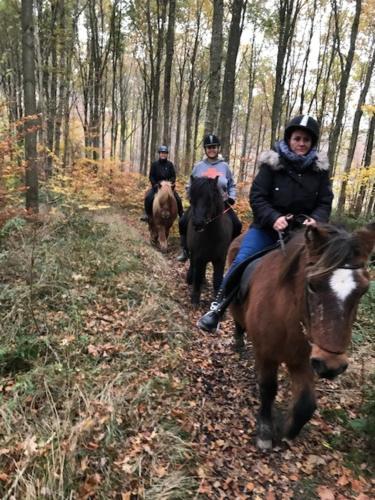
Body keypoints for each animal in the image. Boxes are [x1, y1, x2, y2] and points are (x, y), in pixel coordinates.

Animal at [229, 223, 375, 450]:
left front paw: (287, 432)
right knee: (238, 321)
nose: (332, 366)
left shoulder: (303, 360)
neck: (286, 318)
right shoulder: (266, 354)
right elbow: (268, 389)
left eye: (363, 290)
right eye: (312, 285)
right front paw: (265, 431)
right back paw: (238, 342)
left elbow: (306, 402)